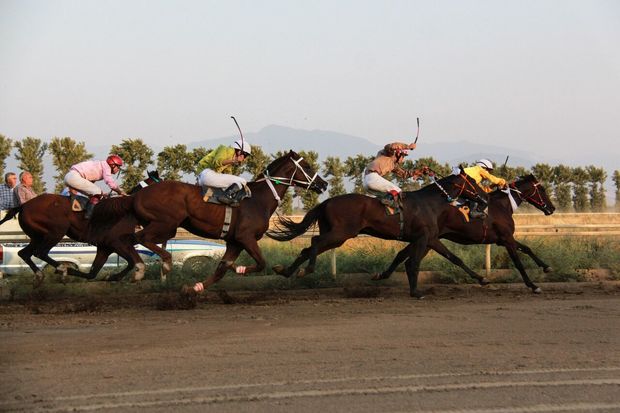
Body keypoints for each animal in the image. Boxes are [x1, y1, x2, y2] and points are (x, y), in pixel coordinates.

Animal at [0, 169, 165, 284]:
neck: (126, 210)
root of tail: (24, 205)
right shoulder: (116, 243)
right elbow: (131, 262)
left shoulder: (105, 247)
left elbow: (93, 272)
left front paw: (110, 276)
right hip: (55, 231)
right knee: (40, 252)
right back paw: (62, 268)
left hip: (37, 236)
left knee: (24, 253)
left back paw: (41, 275)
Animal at [92, 150, 330, 292]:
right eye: (308, 166)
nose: (324, 184)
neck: (258, 199)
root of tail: (136, 195)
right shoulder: (246, 237)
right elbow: (261, 263)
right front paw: (241, 269)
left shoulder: (234, 241)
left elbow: (221, 270)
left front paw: (194, 287)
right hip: (166, 223)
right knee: (140, 237)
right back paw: (159, 264)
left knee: (128, 240)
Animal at [266, 167, 490, 296]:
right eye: (473, 183)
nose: (485, 199)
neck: (430, 204)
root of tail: (327, 201)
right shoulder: (424, 237)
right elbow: (414, 262)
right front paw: (415, 291)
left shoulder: (430, 239)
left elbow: (453, 258)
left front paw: (482, 279)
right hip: (341, 233)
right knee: (314, 243)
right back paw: (306, 270)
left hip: (337, 236)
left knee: (307, 249)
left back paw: (285, 270)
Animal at [378, 174, 556, 292]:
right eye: (542, 189)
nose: (552, 208)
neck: (503, 205)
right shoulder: (506, 239)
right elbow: (518, 262)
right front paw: (533, 285)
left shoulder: (503, 239)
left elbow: (527, 248)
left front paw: (547, 267)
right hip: (429, 238)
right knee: (408, 257)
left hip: (428, 239)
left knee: (402, 254)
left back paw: (382, 275)